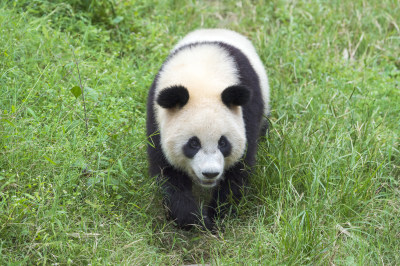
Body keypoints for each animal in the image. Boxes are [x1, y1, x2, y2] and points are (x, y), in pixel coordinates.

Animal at [145, 28, 270, 230]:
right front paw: (193, 218)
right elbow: (167, 171)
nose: (210, 173)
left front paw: (217, 216)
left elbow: (239, 167)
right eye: (193, 144)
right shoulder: (156, 116)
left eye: (223, 143)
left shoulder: (247, 112)